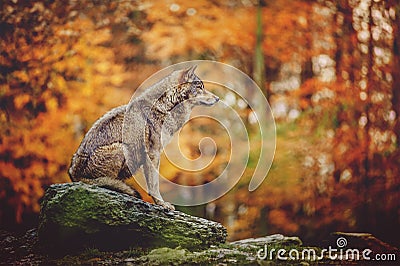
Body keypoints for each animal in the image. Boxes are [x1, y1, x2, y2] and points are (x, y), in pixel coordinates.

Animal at [69, 66, 219, 210]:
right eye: (200, 87)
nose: (218, 98)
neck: (165, 106)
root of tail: (74, 174)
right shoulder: (153, 154)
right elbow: (154, 184)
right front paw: (162, 204)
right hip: (122, 148)